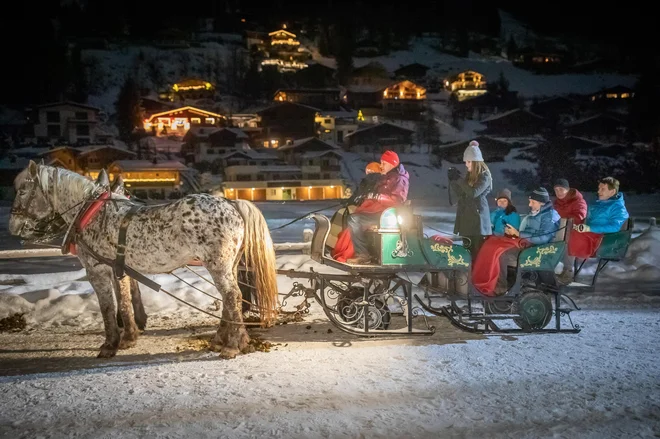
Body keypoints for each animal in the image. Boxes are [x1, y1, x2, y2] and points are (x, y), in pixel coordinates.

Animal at [10, 163, 278, 360]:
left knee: (232, 296)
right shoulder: (119, 269)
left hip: (218, 265)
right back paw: (221, 339)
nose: (13, 226)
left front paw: (109, 345)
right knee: (230, 299)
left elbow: (107, 307)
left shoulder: (97, 270)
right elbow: (125, 302)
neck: (93, 214)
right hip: (228, 264)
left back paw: (234, 345)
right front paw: (129, 337)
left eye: (22, 190)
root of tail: (232, 203)